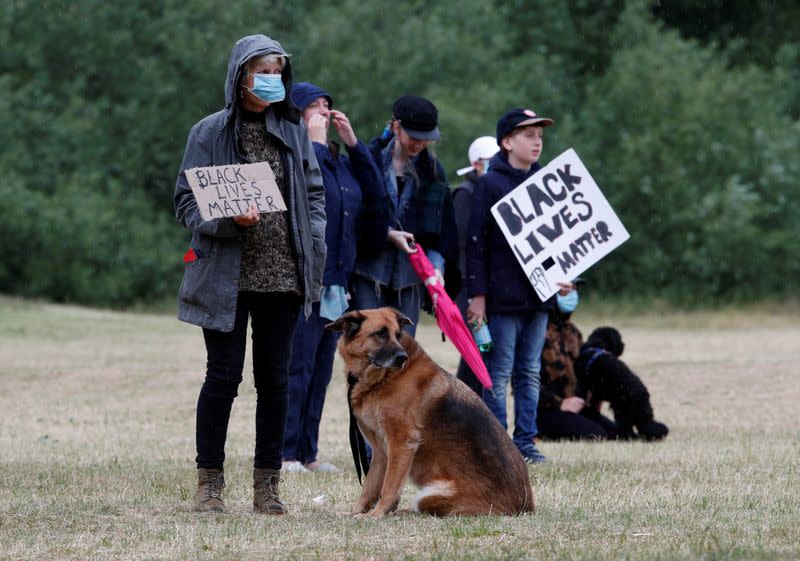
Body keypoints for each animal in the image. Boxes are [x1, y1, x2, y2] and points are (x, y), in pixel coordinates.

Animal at [328, 306, 536, 516]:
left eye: (398, 335)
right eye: (380, 333)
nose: (402, 358)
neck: (381, 379)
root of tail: (524, 507)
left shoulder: (401, 443)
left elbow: (389, 487)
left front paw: (377, 514)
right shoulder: (381, 451)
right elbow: (370, 486)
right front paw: (356, 513)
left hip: (427, 495)